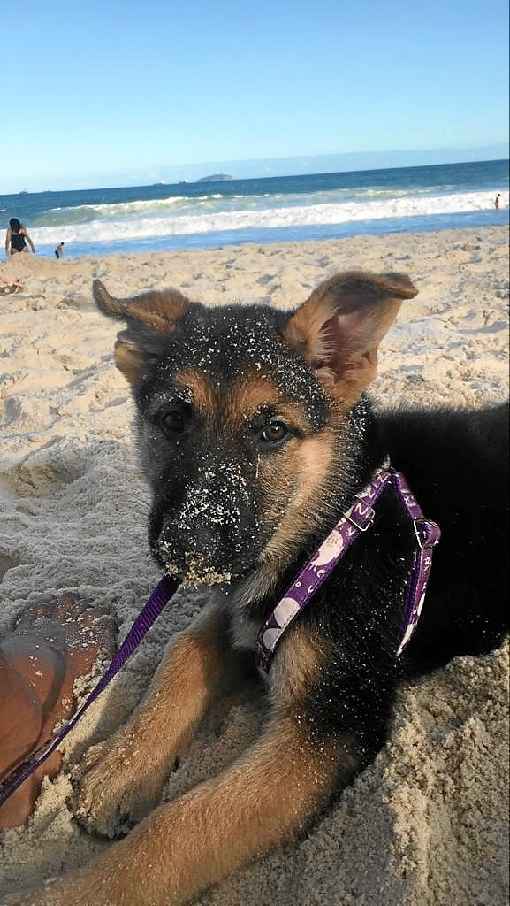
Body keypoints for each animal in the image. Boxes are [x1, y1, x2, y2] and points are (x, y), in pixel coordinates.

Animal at [13, 272, 508, 904]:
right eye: (173, 420)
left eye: (273, 431)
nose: (190, 546)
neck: (328, 524)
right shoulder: (242, 611)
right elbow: (182, 653)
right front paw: (122, 767)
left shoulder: (327, 724)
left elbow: (182, 825)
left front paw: (76, 893)